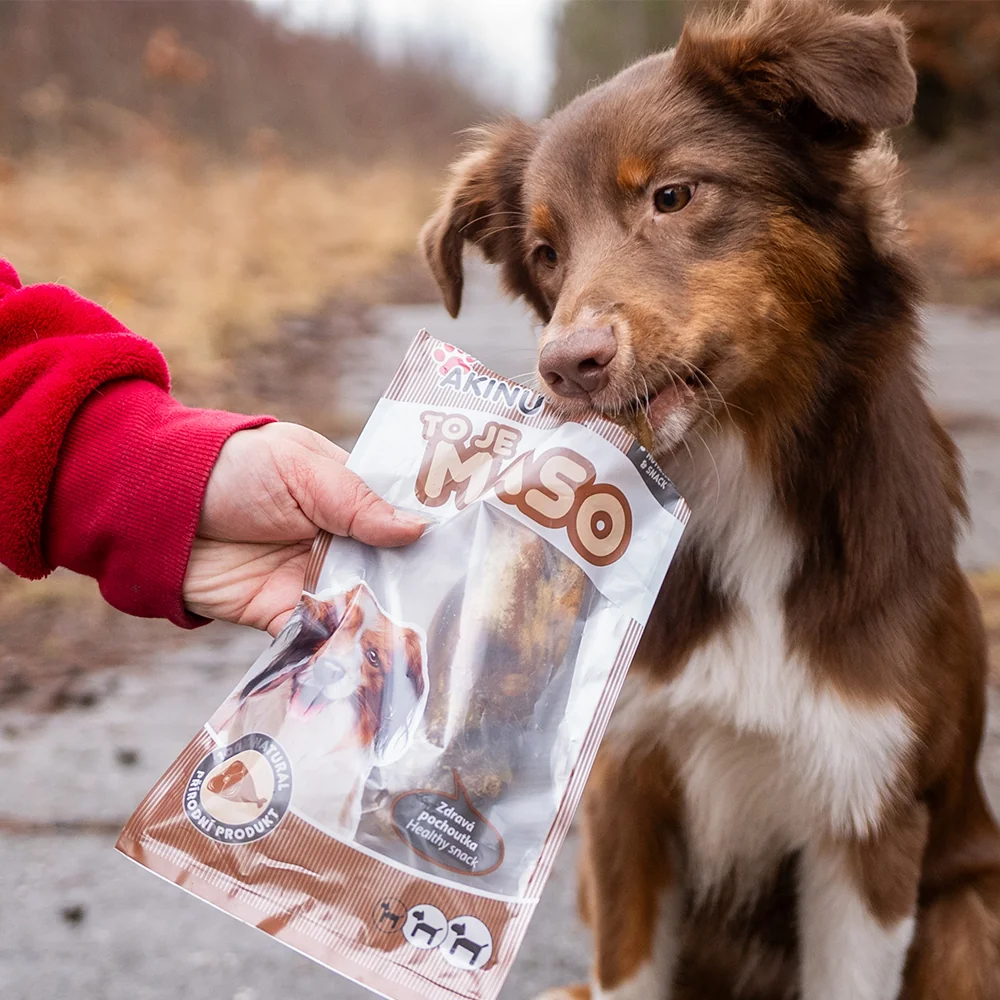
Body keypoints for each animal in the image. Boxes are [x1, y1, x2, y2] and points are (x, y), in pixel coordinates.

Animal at [420, 1, 1000, 1000]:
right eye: (546, 253)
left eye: (674, 196)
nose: (567, 368)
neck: (740, 482)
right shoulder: (623, 792)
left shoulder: (867, 821)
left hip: (971, 913)